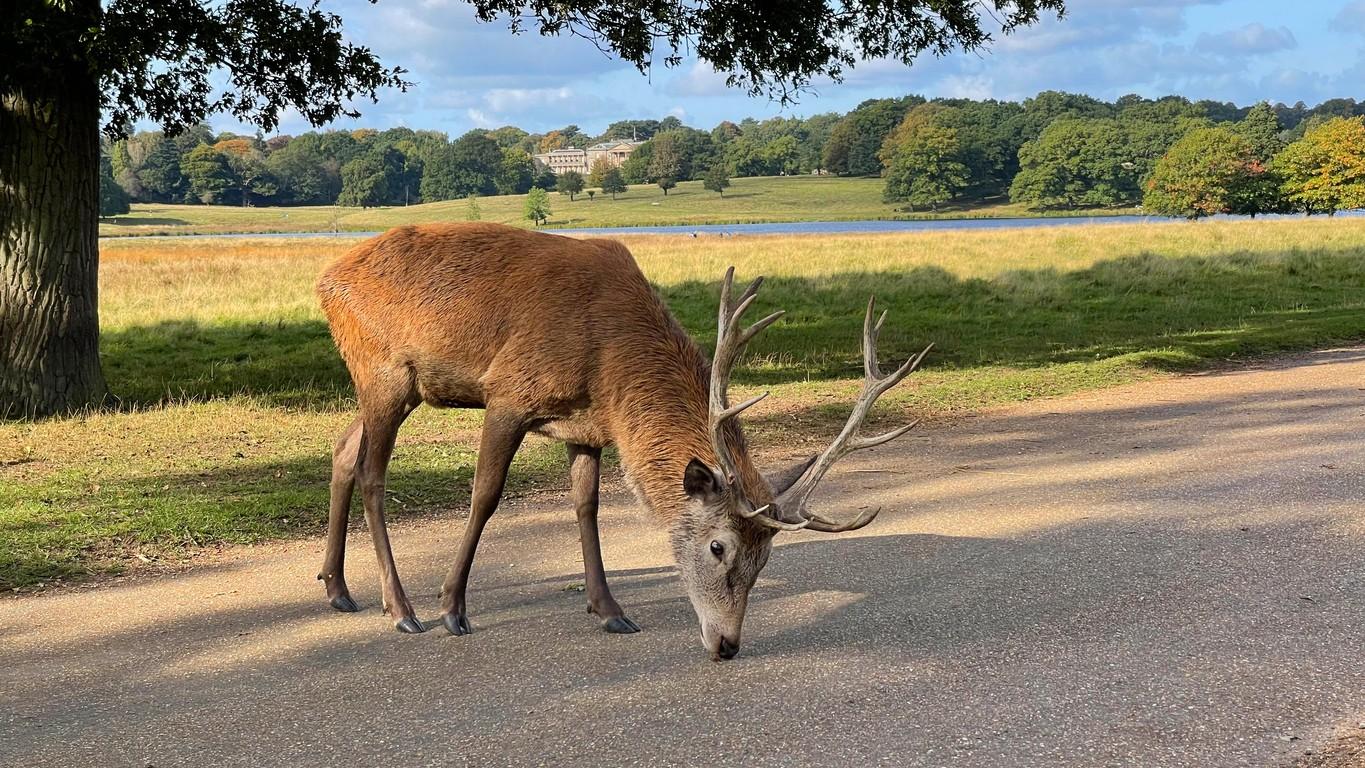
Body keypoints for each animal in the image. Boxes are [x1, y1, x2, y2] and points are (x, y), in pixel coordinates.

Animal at [312, 223, 928, 660]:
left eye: (767, 558)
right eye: (719, 547)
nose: (727, 645)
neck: (610, 366)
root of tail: (325, 280)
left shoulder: (585, 428)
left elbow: (587, 507)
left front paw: (609, 609)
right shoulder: (509, 391)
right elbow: (485, 494)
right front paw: (453, 607)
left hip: (394, 384)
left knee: (342, 451)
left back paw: (338, 588)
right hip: (384, 369)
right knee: (372, 473)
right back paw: (401, 607)